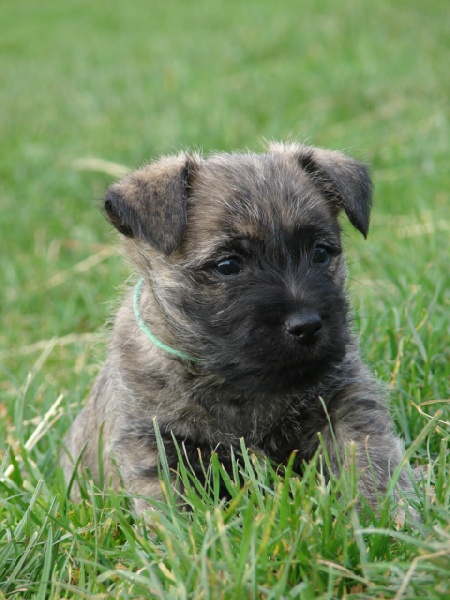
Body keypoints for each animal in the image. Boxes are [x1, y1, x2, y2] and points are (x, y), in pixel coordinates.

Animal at [61, 142, 412, 515]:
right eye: (228, 265)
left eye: (321, 253)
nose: (306, 326)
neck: (239, 383)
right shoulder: (155, 442)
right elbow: (174, 507)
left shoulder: (347, 403)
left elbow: (371, 462)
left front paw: (390, 516)